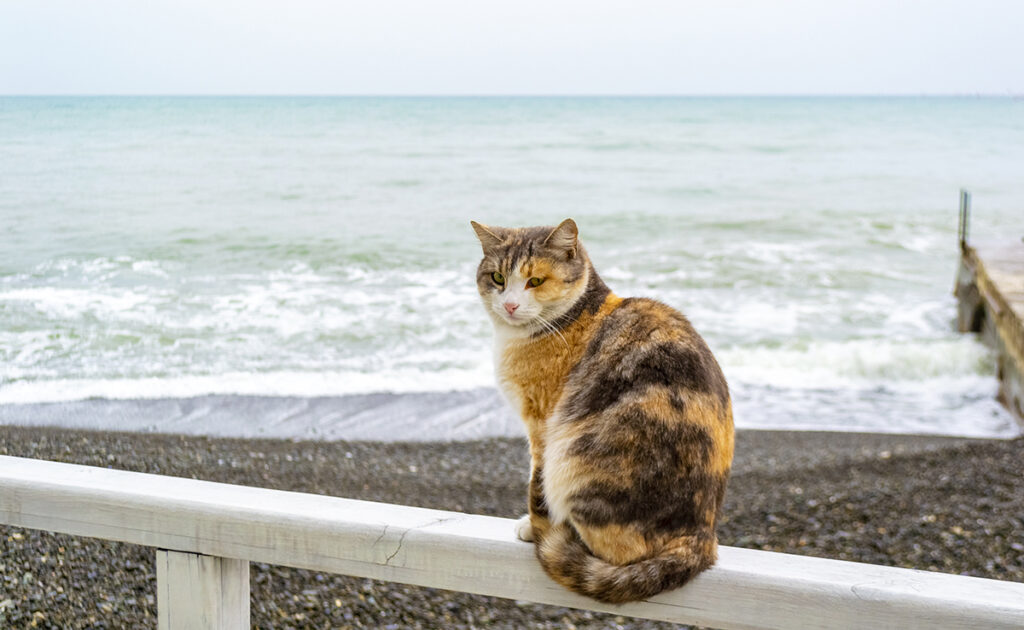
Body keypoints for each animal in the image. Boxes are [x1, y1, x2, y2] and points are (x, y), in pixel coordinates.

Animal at [473, 219, 737, 602]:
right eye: (497, 278)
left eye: (535, 281)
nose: (509, 305)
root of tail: (701, 538)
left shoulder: (542, 423)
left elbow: (536, 485)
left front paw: (532, 526)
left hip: (574, 457)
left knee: (617, 552)